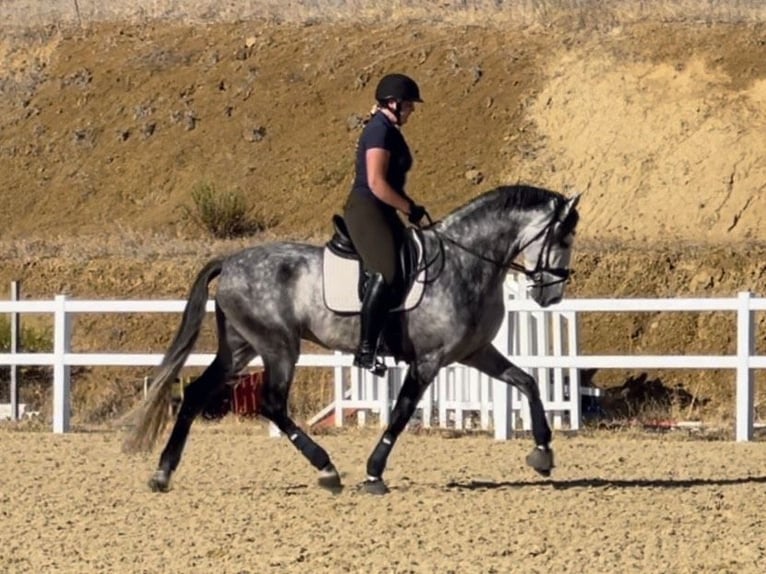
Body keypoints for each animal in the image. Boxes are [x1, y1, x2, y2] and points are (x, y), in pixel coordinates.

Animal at [124, 183, 584, 496]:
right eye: (563, 237)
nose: (552, 295)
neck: (465, 261)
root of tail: (231, 261)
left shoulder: (475, 353)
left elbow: (527, 381)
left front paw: (543, 452)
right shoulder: (429, 360)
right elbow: (400, 413)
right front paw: (374, 471)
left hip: (240, 346)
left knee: (196, 393)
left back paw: (163, 472)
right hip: (278, 347)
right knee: (271, 404)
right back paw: (327, 470)